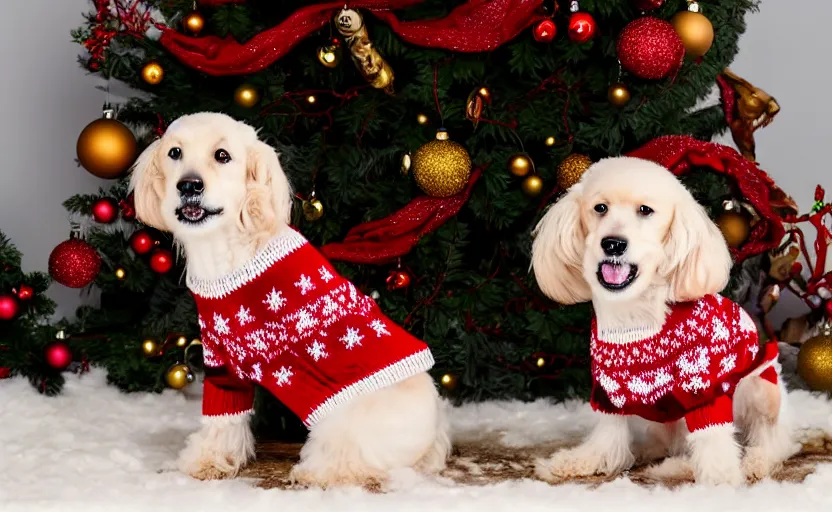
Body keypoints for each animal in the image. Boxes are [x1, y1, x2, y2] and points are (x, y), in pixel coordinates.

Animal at [131, 112, 452, 488]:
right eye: (175, 153)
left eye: (222, 155)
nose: (189, 186)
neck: (229, 251)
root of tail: (436, 433)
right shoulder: (222, 363)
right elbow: (223, 420)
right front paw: (208, 461)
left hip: (346, 415)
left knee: (352, 462)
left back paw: (317, 472)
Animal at [528, 158, 796, 486]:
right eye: (600, 208)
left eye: (645, 210)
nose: (613, 244)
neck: (635, 316)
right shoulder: (608, 391)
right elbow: (608, 434)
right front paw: (585, 461)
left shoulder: (704, 391)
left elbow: (714, 439)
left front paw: (719, 479)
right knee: (667, 444)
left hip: (762, 389)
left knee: (770, 441)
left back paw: (750, 462)